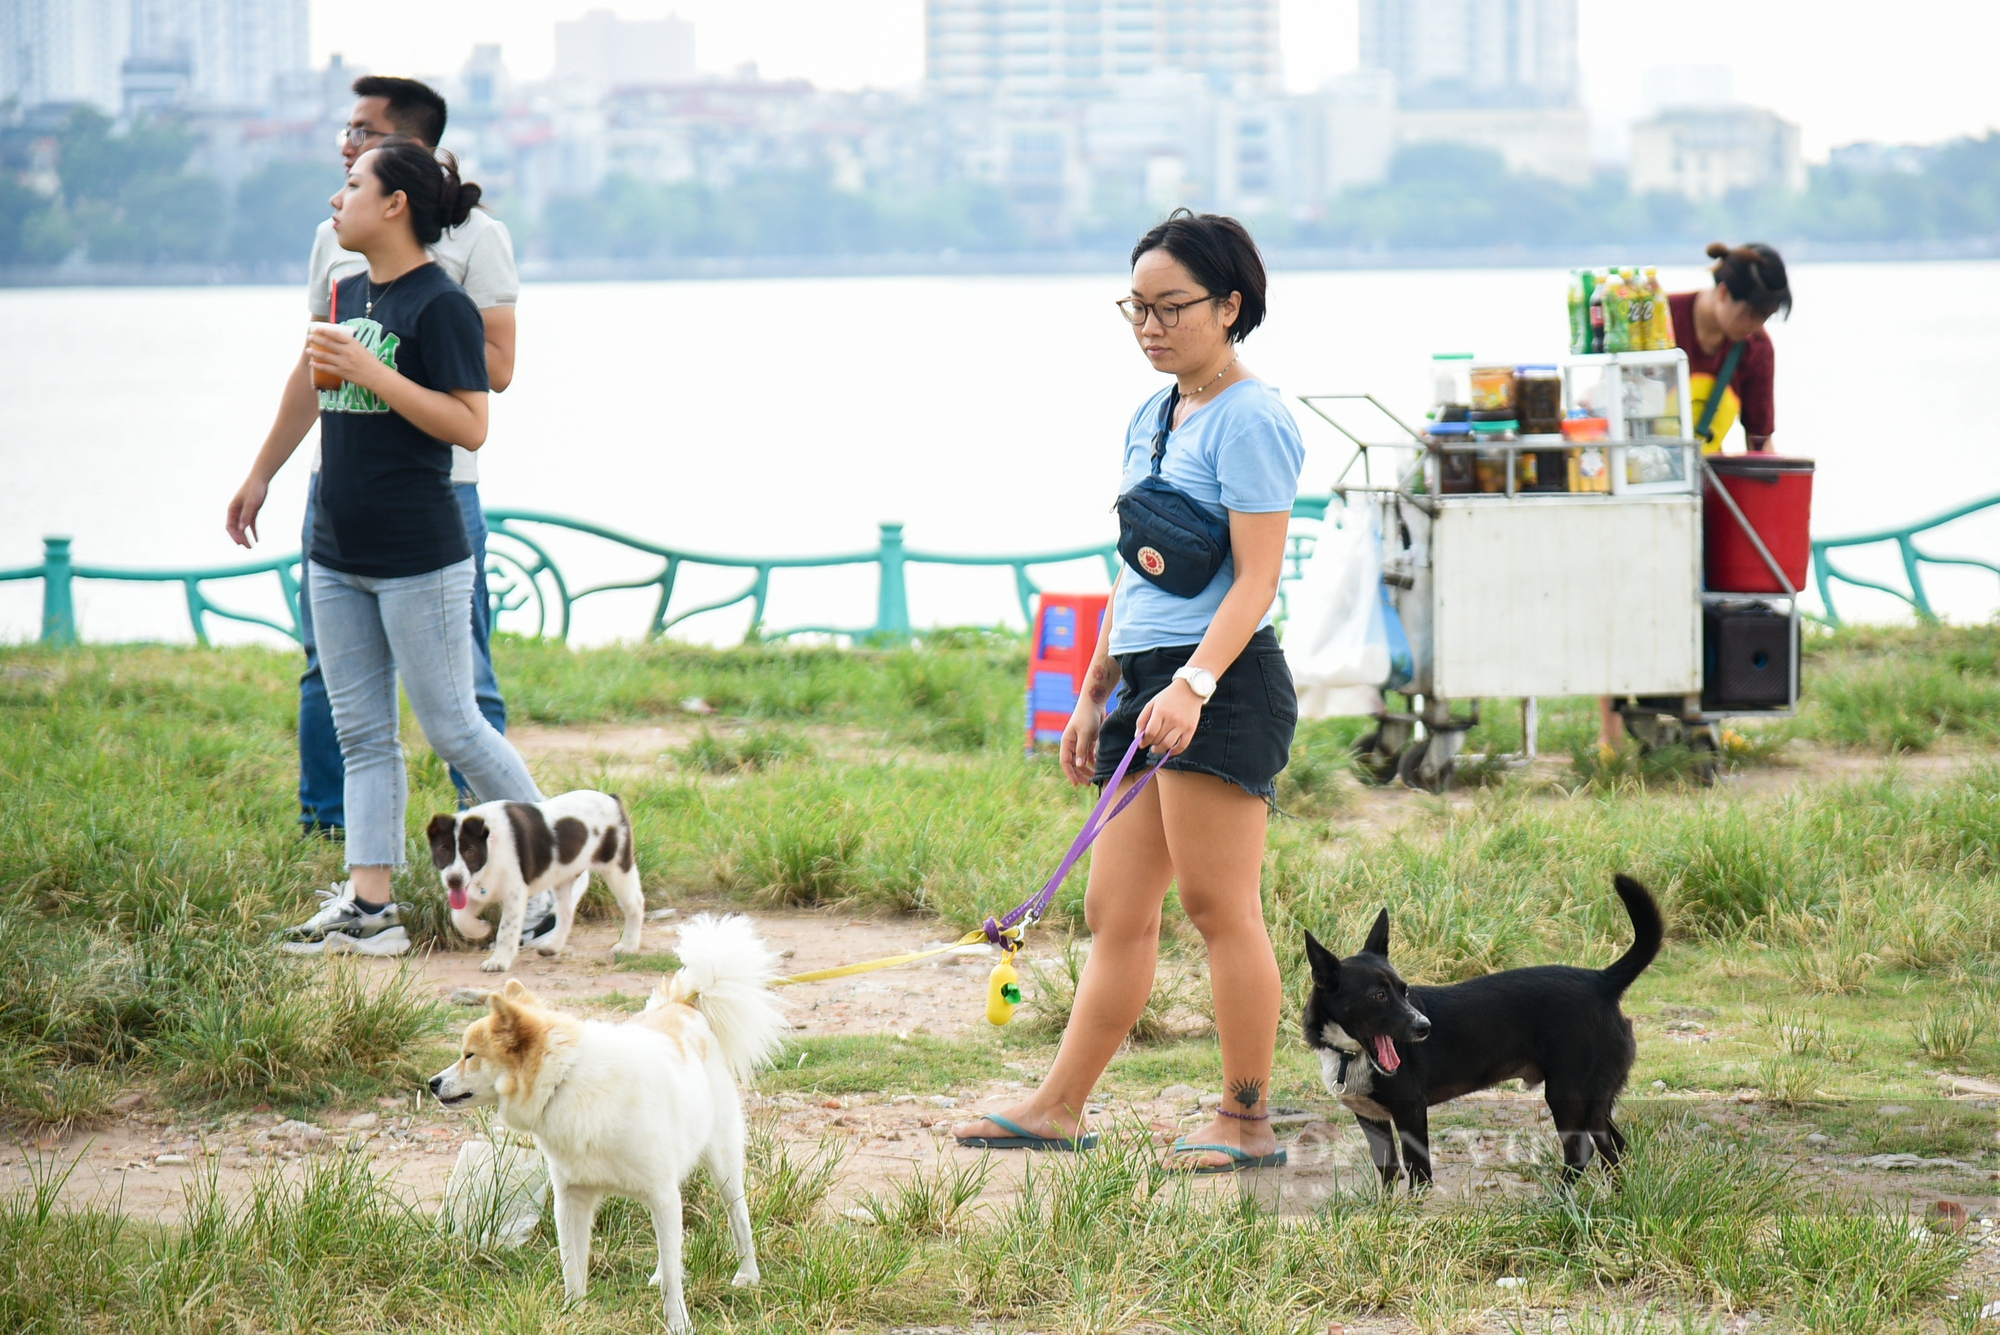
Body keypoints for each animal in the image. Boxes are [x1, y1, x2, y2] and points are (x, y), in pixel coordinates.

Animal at [426, 787, 644, 975]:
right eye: (443, 851)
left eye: (470, 851)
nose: (454, 880)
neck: (491, 845)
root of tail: (612, 798)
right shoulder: (478, 892)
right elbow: (459, 918)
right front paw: (481, 929)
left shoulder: (515, 894)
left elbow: (506, 930)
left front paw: (498, 961)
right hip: (563, 878)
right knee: (566, 913)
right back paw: (553, 946)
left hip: (617, 867)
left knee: (635, 904)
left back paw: (628, 945)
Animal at [430, 911, 788, 1327]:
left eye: (470, 1055)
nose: (432, 1083)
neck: (566, 1082)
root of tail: (686, 1005)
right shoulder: (573, 1198)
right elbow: (573, 1268)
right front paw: (571, 1316)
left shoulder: (662, 1193)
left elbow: (673, 1275)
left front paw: (678, 1323)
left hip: (724, 1168)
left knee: (738, 1221)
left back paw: (747, 1274)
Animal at [1296, 875, 1656, 1191]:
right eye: (1379, 996)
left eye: (1404, 990)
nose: (1424, 1027)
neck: (1349, 1054)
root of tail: (1603, 980)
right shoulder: (1371, 1119)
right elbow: (1389, 1171)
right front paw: (1385, 1213)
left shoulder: (1411, 1112)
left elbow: (1419, 1173)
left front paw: (1411, 1215)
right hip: (1595, 1101)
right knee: (1615, 1149)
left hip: (1568, 1094)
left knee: (1582, 1153)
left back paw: (1560, 1202)